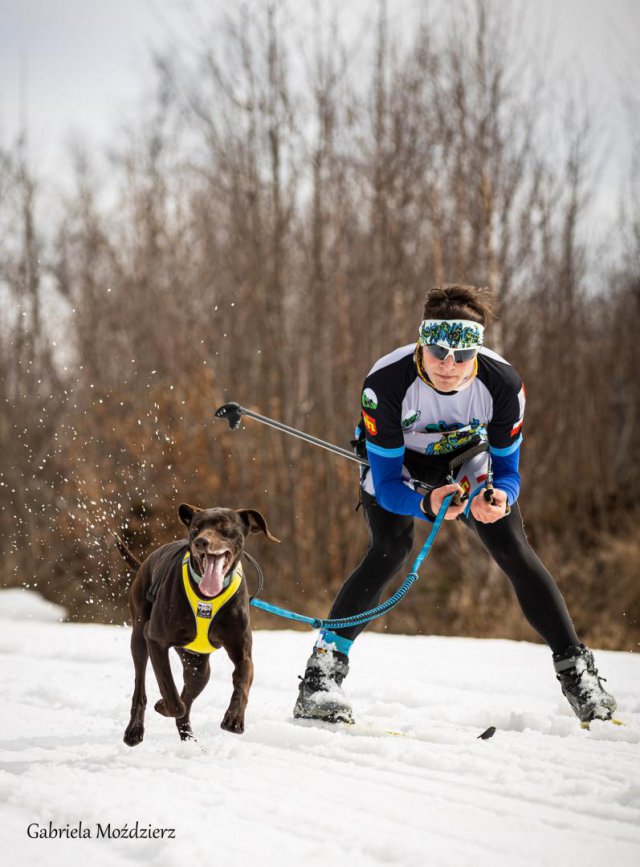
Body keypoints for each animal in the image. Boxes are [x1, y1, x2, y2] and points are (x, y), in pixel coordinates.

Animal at [120, 506, 280, 748]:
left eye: (225, 526)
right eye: (196, 527)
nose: (201, 542)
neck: (207, 598)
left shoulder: (242, 653)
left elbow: (242, 683)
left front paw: (234, 718)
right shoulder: (155, 639)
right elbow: (170, 690)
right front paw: (164, 705)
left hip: (198, 667)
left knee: (189, 695)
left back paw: (188, 739)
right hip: (139, 638)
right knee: (142, 686)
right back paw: (135, 730)